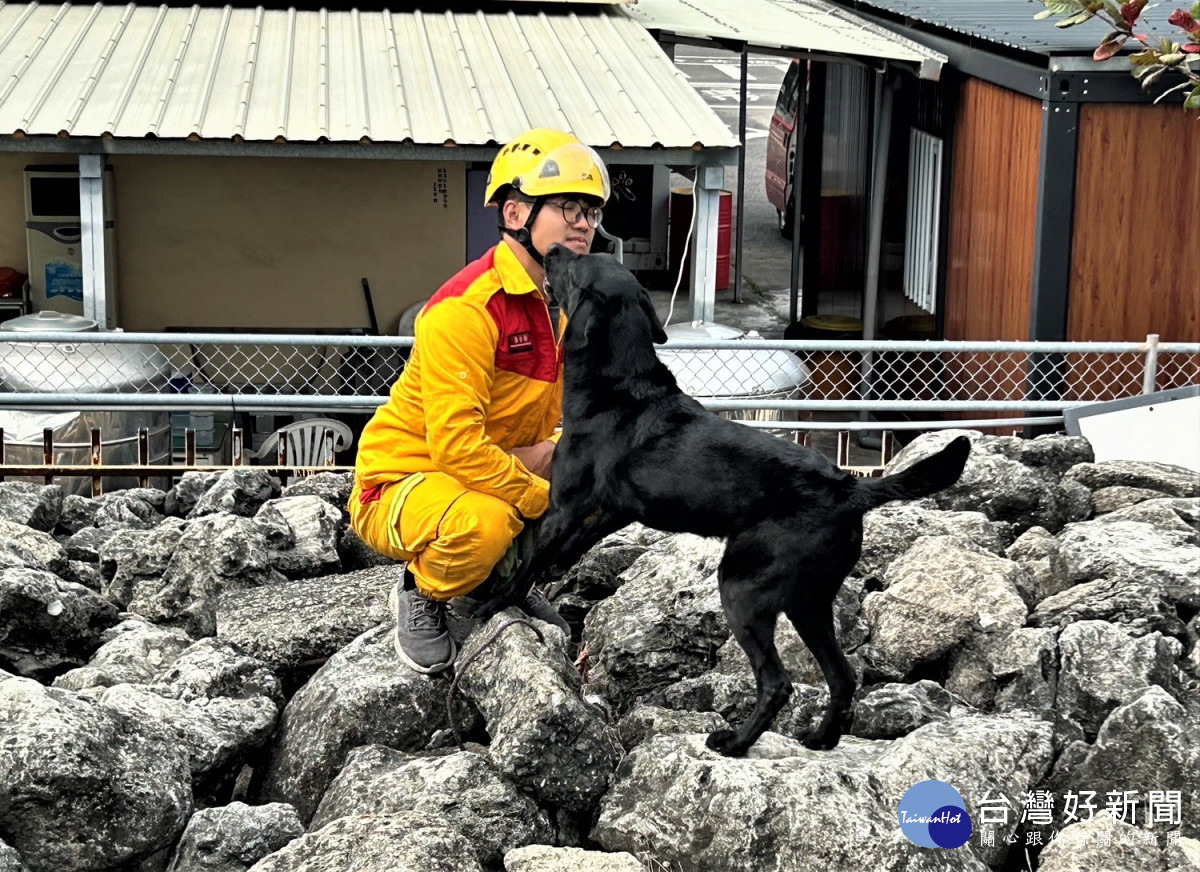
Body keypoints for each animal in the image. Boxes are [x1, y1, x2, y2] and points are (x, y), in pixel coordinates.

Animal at [487, 245, 964, 758]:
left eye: (576, 265)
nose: (552, 249)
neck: (619, 384)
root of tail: (847, 487)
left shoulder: (564, 507)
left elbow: (529, 563)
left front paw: (492, 605)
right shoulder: (614, 507)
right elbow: (578, 541)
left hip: (742, 588)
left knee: (777, 683)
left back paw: (735, 742)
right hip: (810, 602)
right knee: (842, 675)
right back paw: (821, 737)